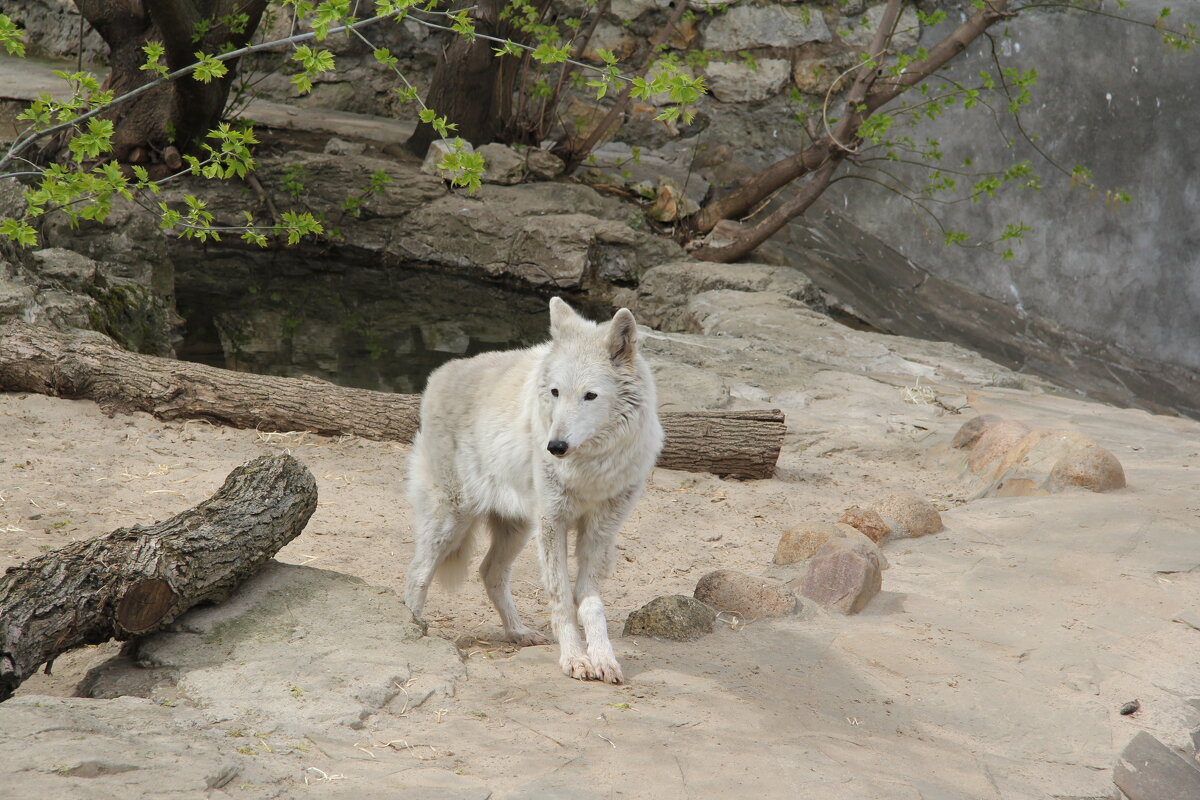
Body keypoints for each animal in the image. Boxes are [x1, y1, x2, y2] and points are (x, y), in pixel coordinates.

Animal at [405, 297, 667, 686]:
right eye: (556, 392)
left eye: (590, 396)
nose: (554, 446)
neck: (588, 468)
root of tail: (439, 374)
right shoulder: (553, 522)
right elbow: (561, 596)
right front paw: (575, 658)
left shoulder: (601, 530)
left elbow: (589, 601)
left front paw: (603, 658)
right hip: (452, 519)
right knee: (419, 572)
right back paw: (409, 628)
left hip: (517, 527)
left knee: (490, 572)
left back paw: (518, 632)